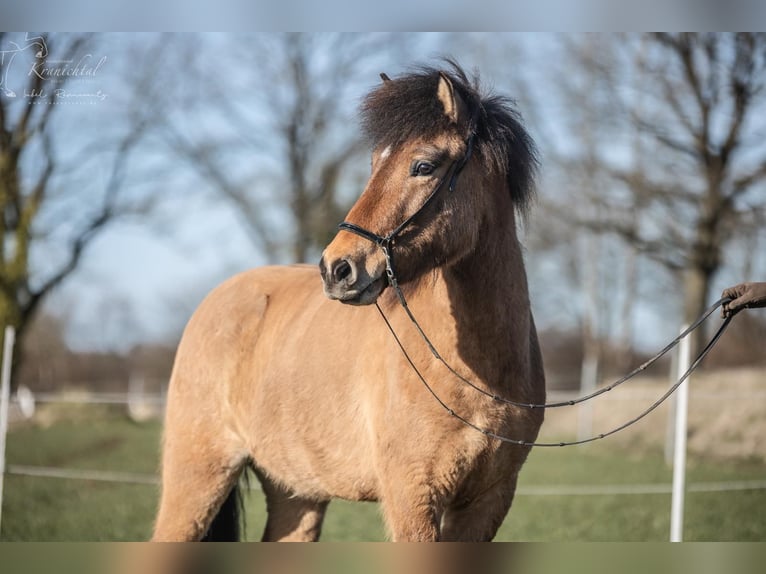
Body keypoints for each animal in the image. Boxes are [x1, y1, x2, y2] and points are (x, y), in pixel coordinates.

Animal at [151, 62, 546, 542]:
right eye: (375, 162)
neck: (477, 373)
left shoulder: (487, 502)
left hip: (296, 492)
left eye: (424, 165)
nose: (337, 268)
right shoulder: (412, 497)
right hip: (198, 477)